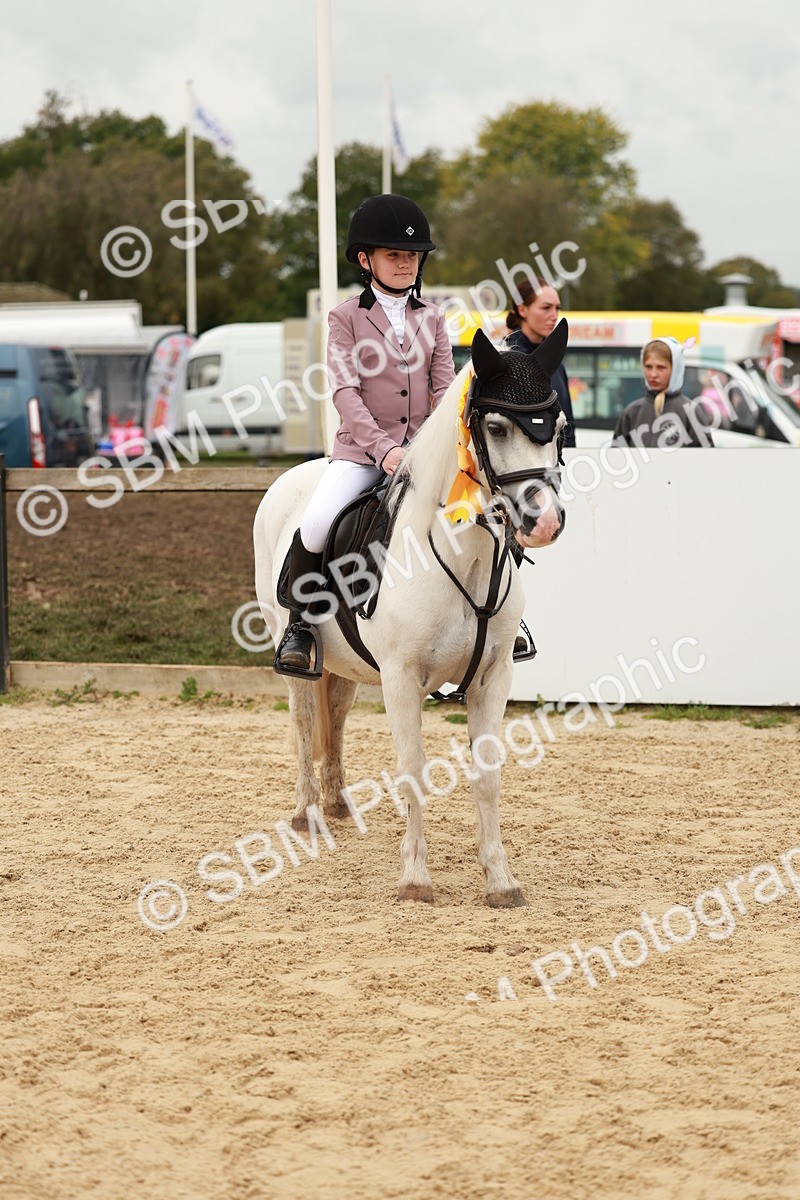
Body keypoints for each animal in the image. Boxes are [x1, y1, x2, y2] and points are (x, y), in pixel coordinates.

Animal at [253, 320, 568, 907]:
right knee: (304, 719)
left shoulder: (494, 677)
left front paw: (500, 880)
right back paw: (308, 813)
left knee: (335, 711)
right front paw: (416, 879)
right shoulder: (401, 679)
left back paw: (337, 802)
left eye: (556, 428)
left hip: (349, 662)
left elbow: (488, 774)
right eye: (496, 427)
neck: (464, 557)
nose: (545, 522)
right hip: (295, 650)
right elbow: (412, 773)